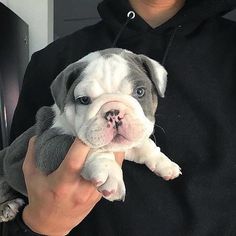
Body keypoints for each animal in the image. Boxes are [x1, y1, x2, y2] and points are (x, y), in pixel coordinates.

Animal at [0, 48, 181, 222]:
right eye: (84, 100)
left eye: (140, 91)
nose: (114, 113)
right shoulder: (46, 145)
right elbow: (90, 147)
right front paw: (108, 170)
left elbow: (143, 145)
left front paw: (162, 162)